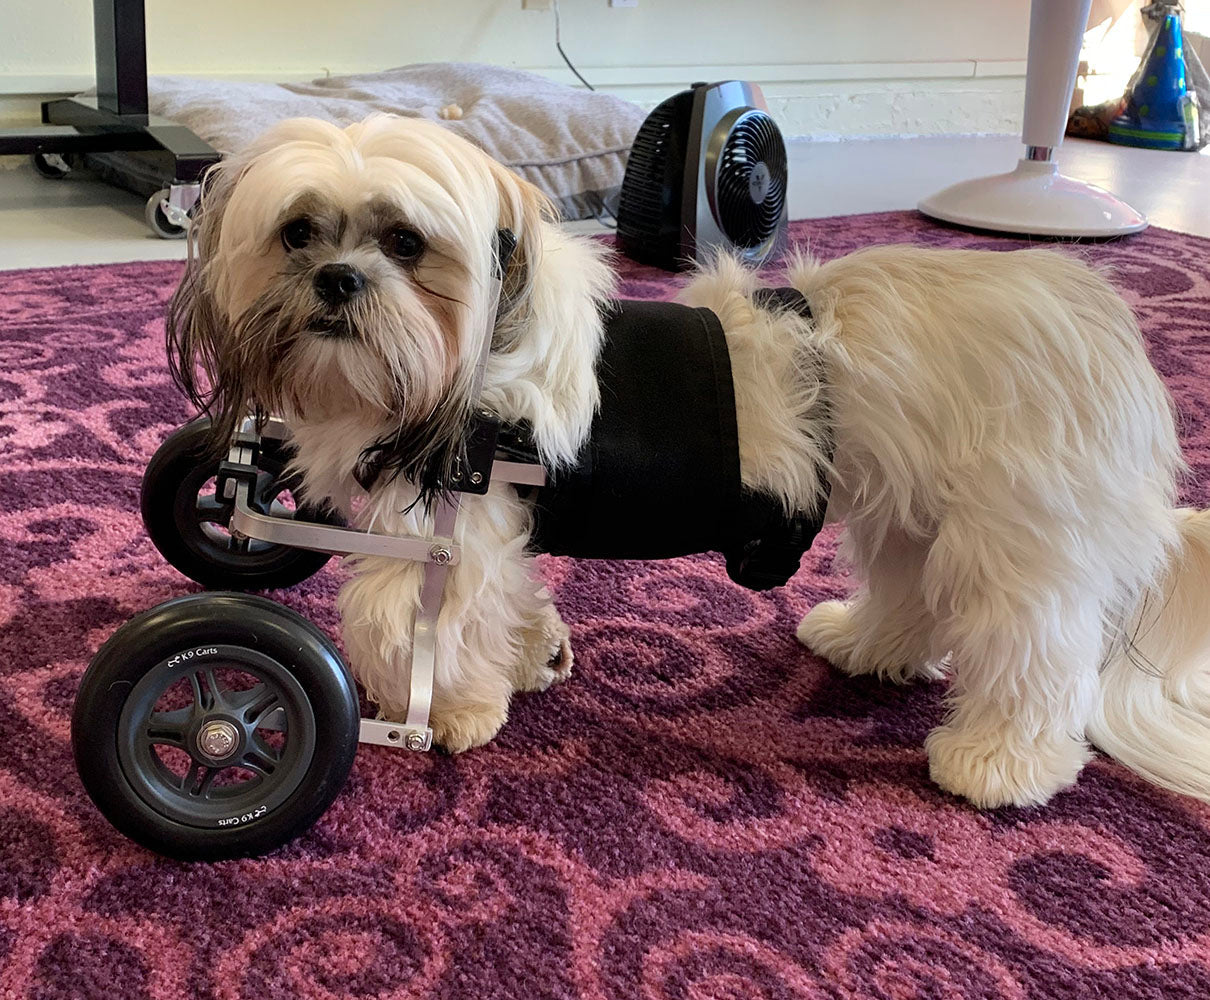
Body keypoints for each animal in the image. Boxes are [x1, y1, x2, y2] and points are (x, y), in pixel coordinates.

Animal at [165, 113, 1210, 808]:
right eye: (298, 232)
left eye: (404, 241)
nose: (337, 279)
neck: (460, 357)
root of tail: (1108, 335)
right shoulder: (499, 524)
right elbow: (508, 600)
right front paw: (534, 656)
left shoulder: (448, 524)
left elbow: (410, 621)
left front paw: (446, 711)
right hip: (914, 514)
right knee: (917, 599)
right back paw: (864, 644)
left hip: (1015, 540)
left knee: (1039, 655)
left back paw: (1000, 762)